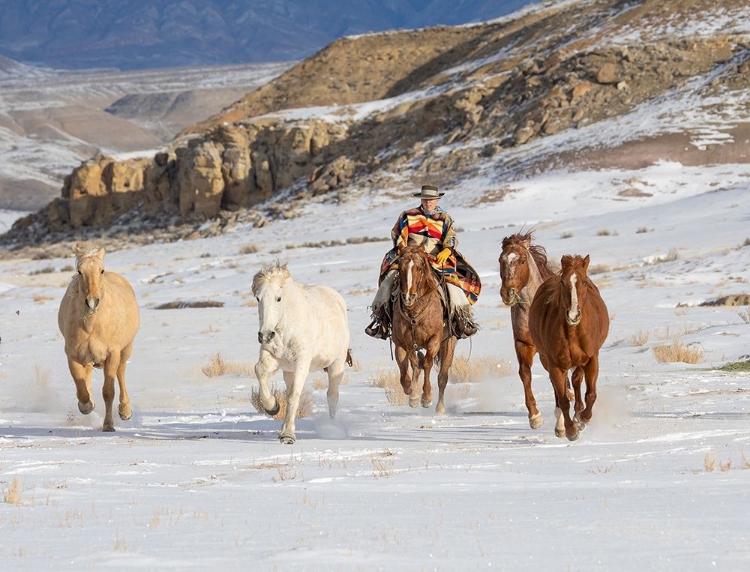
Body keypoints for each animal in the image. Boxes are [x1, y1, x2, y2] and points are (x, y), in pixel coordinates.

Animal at [58, 244, 140, 432]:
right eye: (79, 271)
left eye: (101, 270)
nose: (92, 302)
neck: (92, 324)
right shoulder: (72, 355)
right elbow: (80, 384)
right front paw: (86, 405)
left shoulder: (112, 354)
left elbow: (108, 391)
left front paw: (108, 425)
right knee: (87, 371)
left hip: (126, 349)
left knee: (121, 372)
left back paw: (125, 410)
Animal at [250, 262, 350, 444]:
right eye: (258, 298)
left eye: (278, 298)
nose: (265, 335)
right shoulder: (272, 356)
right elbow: (260, 371)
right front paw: (273, 407)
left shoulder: (302, 362)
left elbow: (294, 396)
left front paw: (288, 435)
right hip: (288, 371)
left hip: (336, 364)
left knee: (332, 395)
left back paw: (332, 428)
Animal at [394, 244, 458, 414]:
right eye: (399, 267)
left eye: (420, 267)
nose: (408, 297)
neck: (414, 313)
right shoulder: (404, 343)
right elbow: (408, 367)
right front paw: (413, 395)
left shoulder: (434, 339)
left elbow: (427, 363)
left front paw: (427, 397)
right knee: (416, 365)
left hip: (449, 344)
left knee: (442, 377)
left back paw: (440, 407)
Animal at [500, 232, 560, 428]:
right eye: (501, 260)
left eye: (522, 261)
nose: (507, 293)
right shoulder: (523, 344)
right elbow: (525, 374)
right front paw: (535, 417)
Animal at [528, 255, 612, 442]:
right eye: (562, 282)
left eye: (585, 282)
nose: (573, 315)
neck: (573, 332)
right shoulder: (556, 365)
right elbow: (564, 399)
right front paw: (570, 431)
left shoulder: (591, 360)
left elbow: (591, 394)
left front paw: (583, 418)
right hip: (547, 360)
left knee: (577, 381)